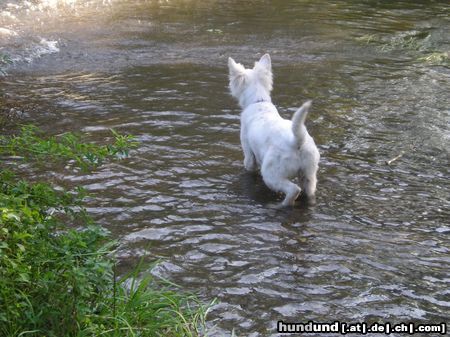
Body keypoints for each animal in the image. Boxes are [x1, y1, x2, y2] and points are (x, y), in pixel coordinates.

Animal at [229, 53, 320, 206]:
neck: (258, 101)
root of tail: (296, 141)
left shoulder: (248, 153)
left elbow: (249, 166)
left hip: (271, 174)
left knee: (293, 190)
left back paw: (280, 205)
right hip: (309, 175)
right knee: (308, 192)